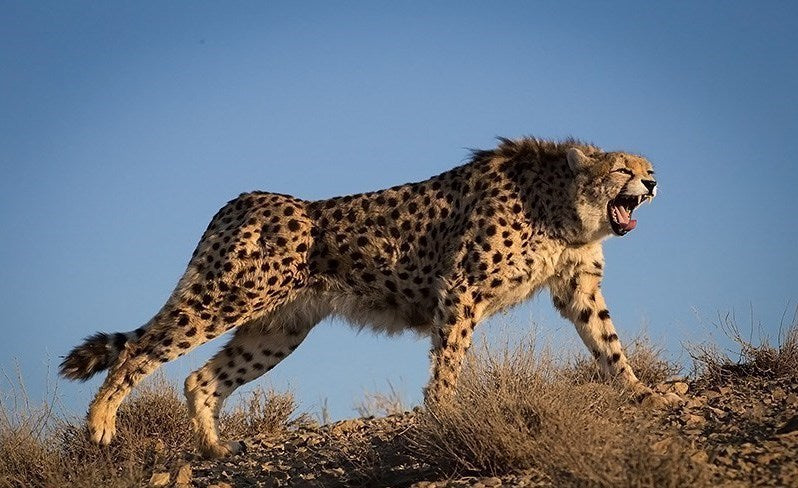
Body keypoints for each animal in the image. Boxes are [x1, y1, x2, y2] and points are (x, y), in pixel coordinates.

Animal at [60, 136, 679, 458]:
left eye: (648, 168)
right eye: (622, 169)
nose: (652, 184)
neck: (561, 206)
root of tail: (247, 199)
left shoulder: (578, 288)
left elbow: (608, 341)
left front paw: (640, 391)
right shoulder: (460, 288)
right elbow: (449, 360)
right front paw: (444, 413)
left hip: (277, 329)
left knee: (202, 377)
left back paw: (213, 450)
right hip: (228, 296)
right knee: (139, 349)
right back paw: (101, 425)